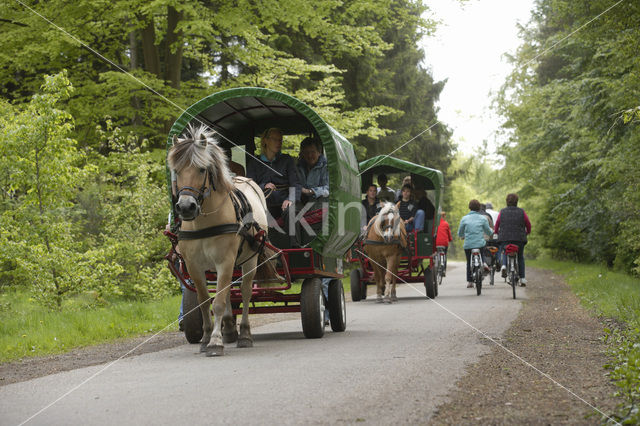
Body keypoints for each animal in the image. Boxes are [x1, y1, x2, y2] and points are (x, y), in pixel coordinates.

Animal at [168, 123, 278, 356]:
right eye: (177, 170)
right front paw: (206, 338)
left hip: (248, 261)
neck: (205, 222)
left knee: (245, 292)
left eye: (202, 169)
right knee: (227, 291)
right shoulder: (194, 265)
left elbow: (217, 302)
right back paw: (228, 328)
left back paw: (244, 334)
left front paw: (215, 342)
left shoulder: (225, 261)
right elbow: (204, 301)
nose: (186, 207)